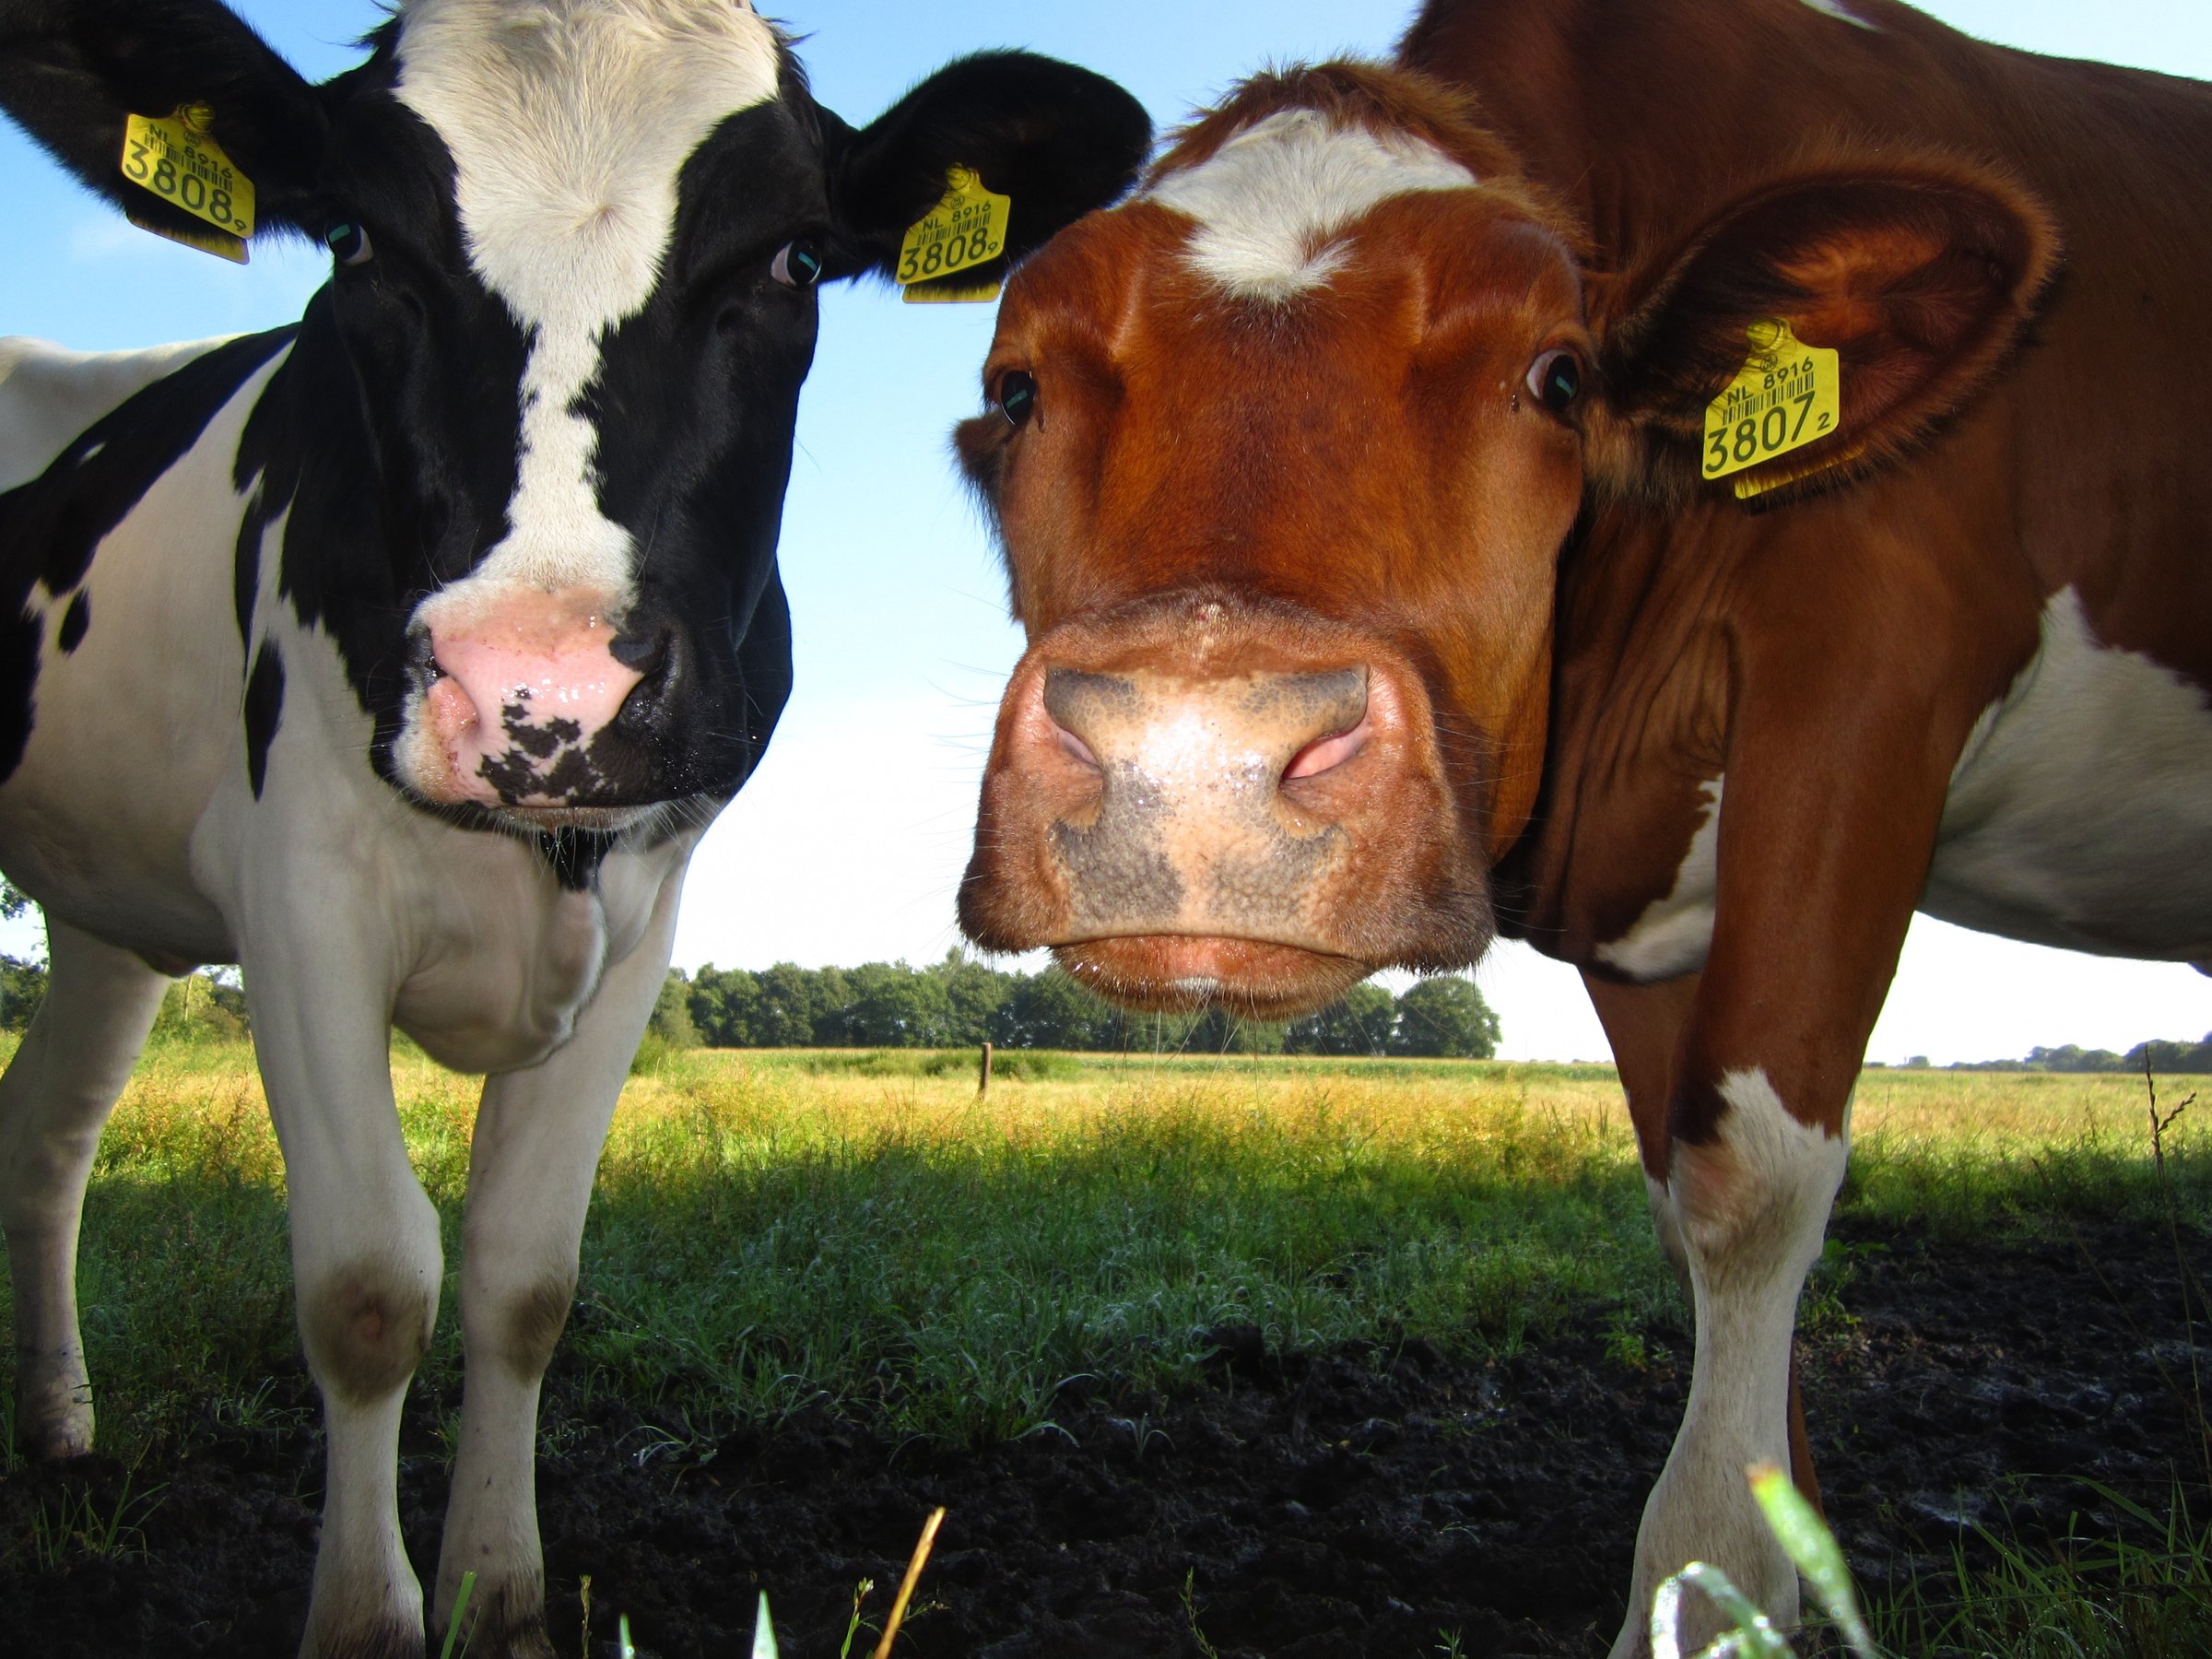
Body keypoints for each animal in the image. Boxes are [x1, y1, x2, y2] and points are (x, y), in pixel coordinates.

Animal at [0, 2, 1147, 1653]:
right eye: (351, 238)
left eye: (797, 257)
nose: (535, 689)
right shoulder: (298, 894)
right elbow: (367, 1281)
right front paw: (370, 1615)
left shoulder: (643, 920)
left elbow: (522, 1278)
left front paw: (501, 1593)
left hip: (103, 915)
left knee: (47, 1131)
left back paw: (56, 1428)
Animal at [950, 0, 2210, 1649]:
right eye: (1016, 386)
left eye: (1558, 379)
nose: (1195, 760)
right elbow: (1681, 1205)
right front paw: (1786, 1574)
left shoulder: (1877, 671)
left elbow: (1751, 1182)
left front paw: (1708, 1590)